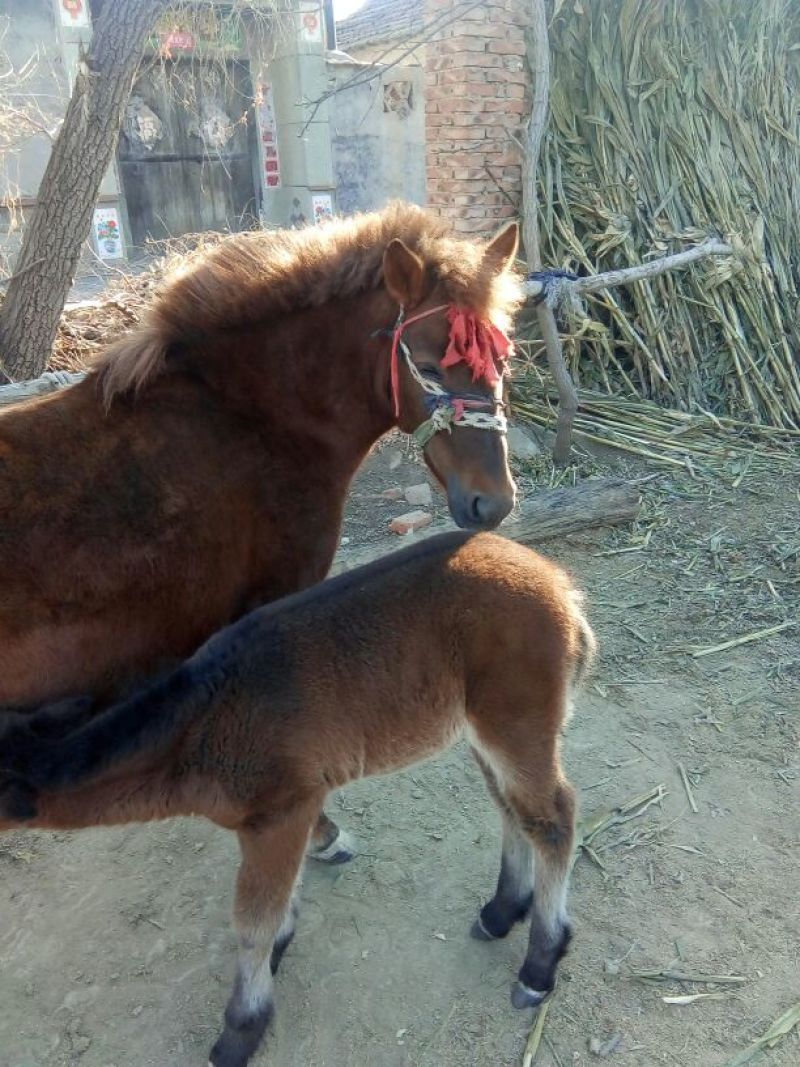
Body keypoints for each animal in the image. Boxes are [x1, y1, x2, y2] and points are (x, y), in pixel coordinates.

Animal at [0, 531, 594, 1067]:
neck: (202, 732)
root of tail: (561, 586)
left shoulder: (280, 810)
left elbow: (252, 922)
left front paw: (241, 1030)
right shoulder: (290, 808)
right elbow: (285, 891)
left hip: (517, 716)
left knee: (552, 817)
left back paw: (538, 967)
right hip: (483, 726)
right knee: (512, 808)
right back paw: (501, 912)